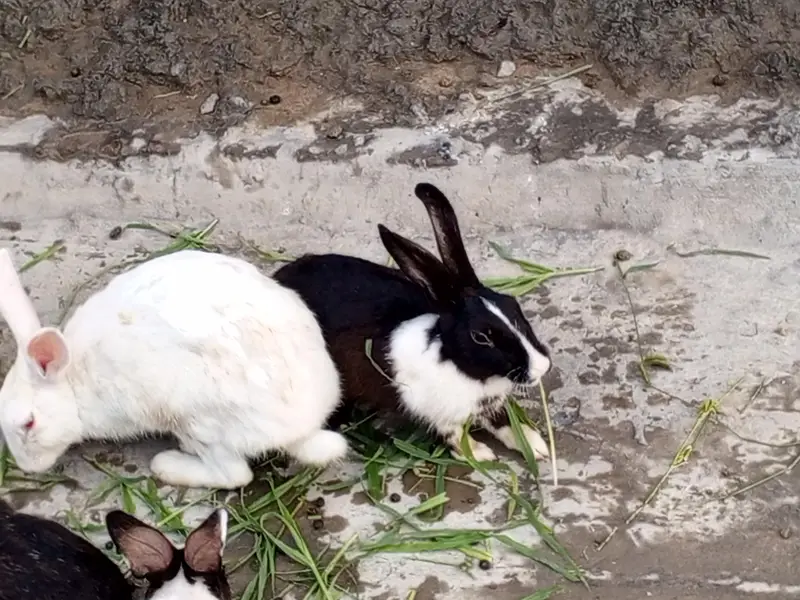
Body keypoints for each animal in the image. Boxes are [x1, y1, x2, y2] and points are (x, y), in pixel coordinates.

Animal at [0, 247, 348, 490]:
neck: (73, 381)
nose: (27, 467)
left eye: (29, 423)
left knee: (233, 474)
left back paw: (167, 464)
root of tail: (302, 428)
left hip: (196, 419)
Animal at [273, 182, 553, 463]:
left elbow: (505, 422)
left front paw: (536, 446)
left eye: (513, 304)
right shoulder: (437, 413)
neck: (465, 369)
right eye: (481, 337)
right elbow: (455, 436)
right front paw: (480, 454)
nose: (542, 367)